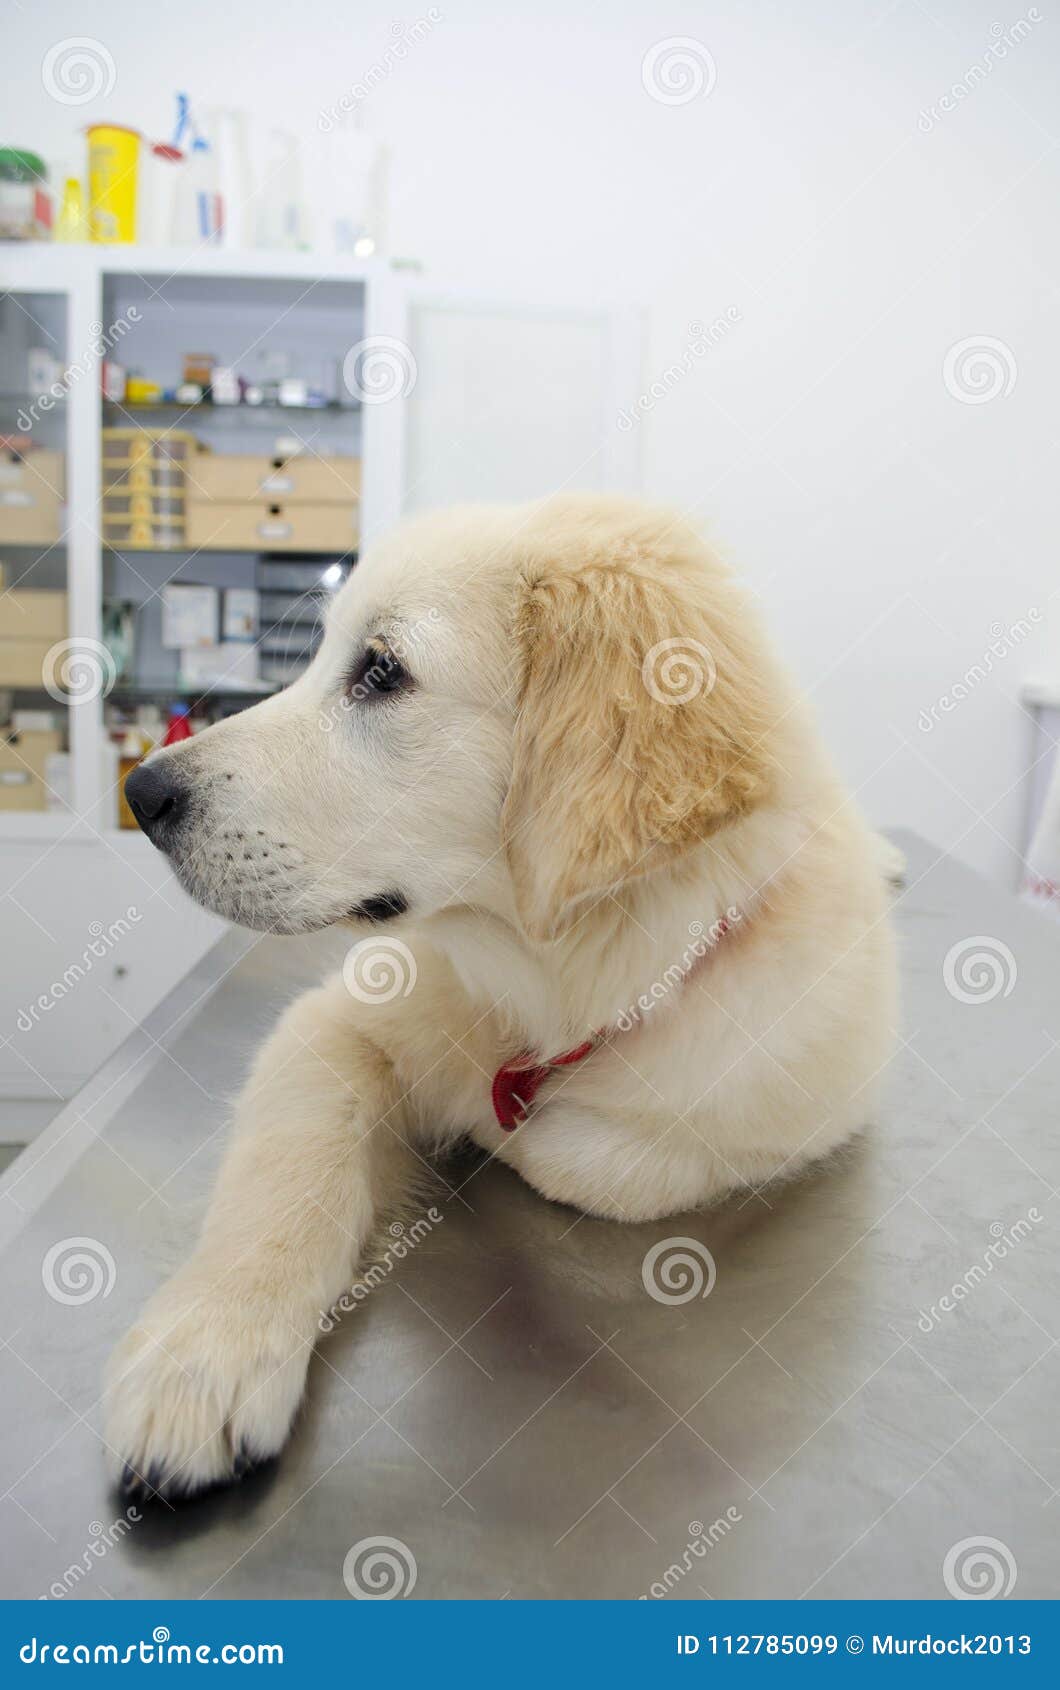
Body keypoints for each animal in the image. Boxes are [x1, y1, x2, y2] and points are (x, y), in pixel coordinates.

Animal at [105, 493, 892, 1500]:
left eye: (382, 671)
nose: (142, 791)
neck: (556, 980)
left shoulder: (799, 1107)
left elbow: (596, 1158)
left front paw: (505, 1127)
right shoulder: (334, 1020)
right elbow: (285, 1165)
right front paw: (204, 1353)